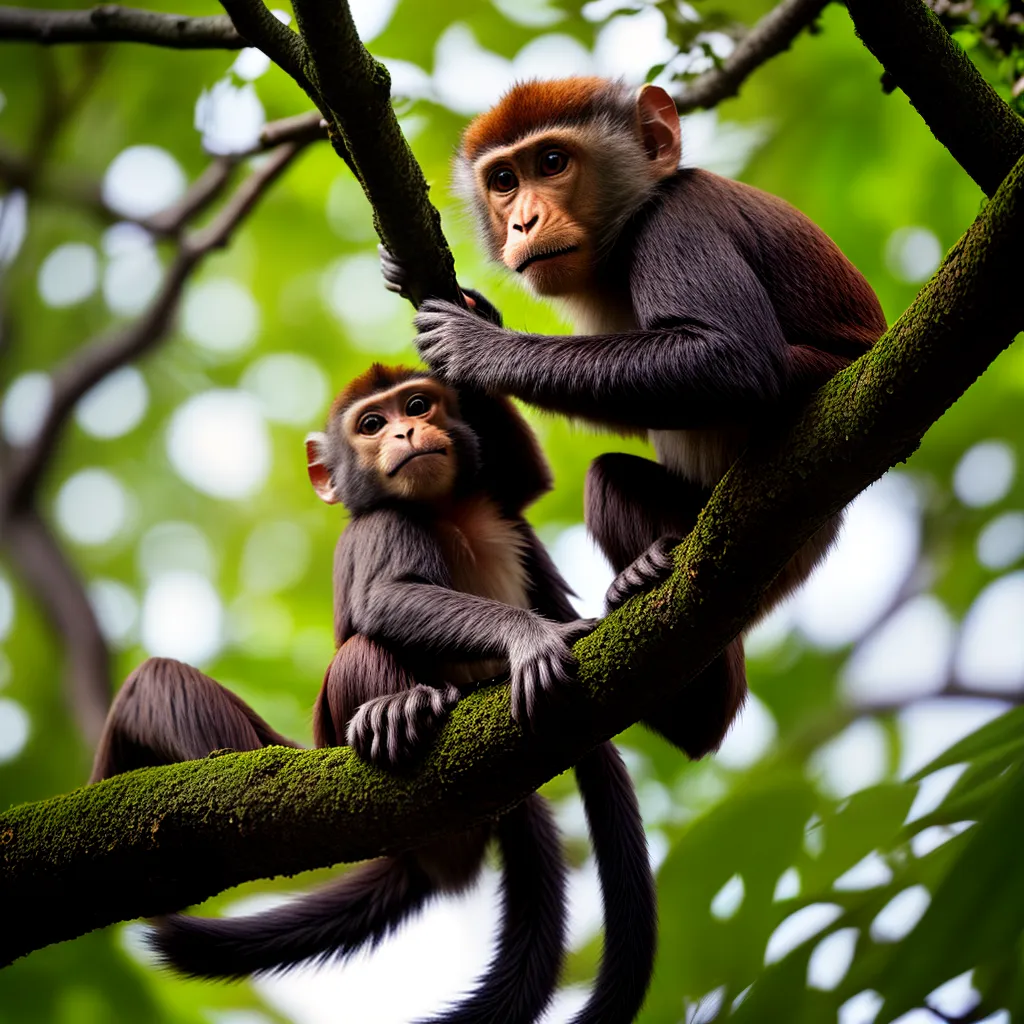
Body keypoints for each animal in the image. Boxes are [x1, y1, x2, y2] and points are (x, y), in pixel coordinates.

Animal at [91, 365, 657, 1024]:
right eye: (371, 424)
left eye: (416, 405)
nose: (407, 432)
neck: (449, 512)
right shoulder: (381, 525)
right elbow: (386, 597)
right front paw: (530, 636)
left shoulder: (501, 504)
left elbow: (530, 477)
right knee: (188, 674)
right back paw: (397, 712)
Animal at [387, 75, 886, 762]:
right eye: (504, 180)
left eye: (552, 162)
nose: (522, 220)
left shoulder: (678, 218)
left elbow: (731, 360)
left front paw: (479, 345)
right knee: (611, 477)